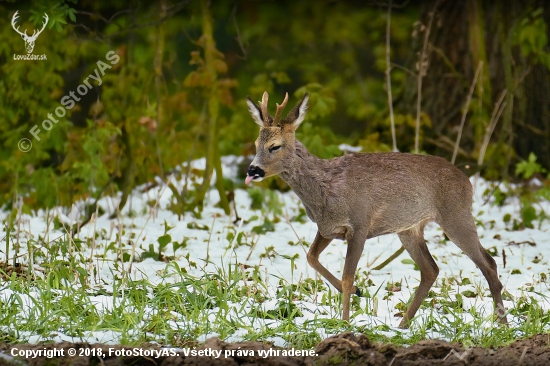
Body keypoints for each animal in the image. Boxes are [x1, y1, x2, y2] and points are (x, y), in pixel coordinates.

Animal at [246, 91, 508, 326]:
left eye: (275, 146)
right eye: (257, 143)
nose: (252, 170)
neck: (326, 191)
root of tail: (467, 181)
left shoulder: (360, 224)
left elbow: (346, 275)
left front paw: (345, 322)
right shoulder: (327, 228)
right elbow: (311, 257)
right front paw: (357, 291)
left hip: (456, 214)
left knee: (489, 263)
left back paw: (501, 323)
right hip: (409, 228)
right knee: (431, 269)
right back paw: (402, 325)